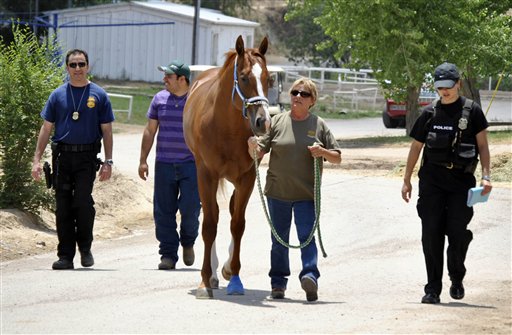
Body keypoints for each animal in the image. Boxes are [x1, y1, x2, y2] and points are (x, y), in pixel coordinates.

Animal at [183, 36, 272, 300]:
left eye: (268, 79)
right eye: (243, 77)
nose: (263, 122)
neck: (226, 127)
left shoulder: (247, 178)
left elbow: (238, 224)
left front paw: (234, 277)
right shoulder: (206, 175)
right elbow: (209, 225)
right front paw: (204, 281)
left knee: (232, 212)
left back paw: (225, 268)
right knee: (211, 213)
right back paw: (212, 274)